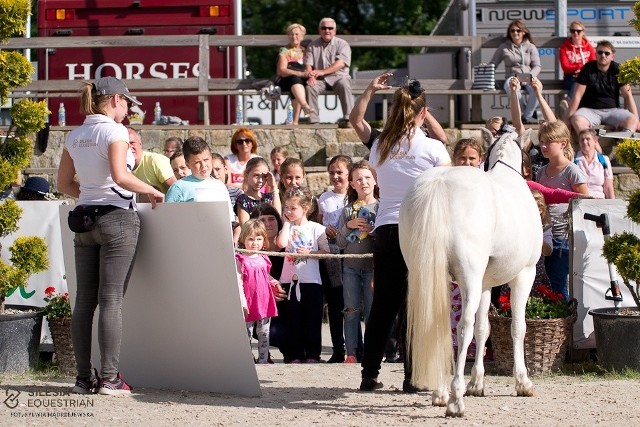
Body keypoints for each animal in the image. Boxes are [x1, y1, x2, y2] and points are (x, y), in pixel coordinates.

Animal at [400, 131, 540, 418]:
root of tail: (439, 184)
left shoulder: (486, 284)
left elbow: (483, 328)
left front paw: (477, 383)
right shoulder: (524, 274)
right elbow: (517, 327)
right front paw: (523, 382)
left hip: (431, 277)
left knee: (439, 326)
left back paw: (441, 393)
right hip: (469, 278)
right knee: (463, 328)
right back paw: (455, 399)